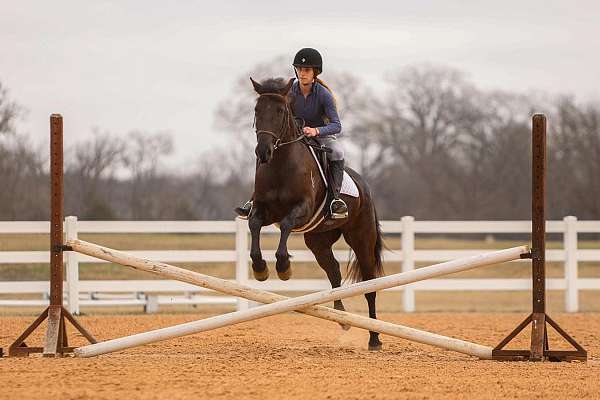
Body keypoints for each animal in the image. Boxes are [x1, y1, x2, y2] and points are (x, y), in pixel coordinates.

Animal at [247, 76, 384, 348]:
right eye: (257, 110)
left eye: (280, 111)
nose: (263, 153)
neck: (280, 165)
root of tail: (364, 187)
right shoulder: (263, 210)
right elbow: (254, 225)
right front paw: (260, 268)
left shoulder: (302, 209)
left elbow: (286, 225)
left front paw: (283, 267)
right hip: (318, 240)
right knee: (333, 271)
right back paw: (342, 317)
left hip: (361, 239)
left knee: (368, 283)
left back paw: (374, 338)